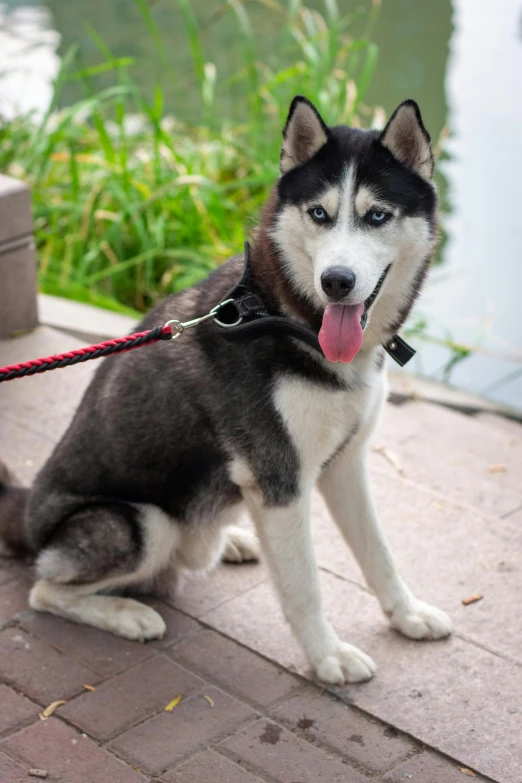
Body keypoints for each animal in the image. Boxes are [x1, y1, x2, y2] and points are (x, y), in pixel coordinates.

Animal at [0, 99, 446, 688]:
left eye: (376, 216)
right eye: (319, 214)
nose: (337, 281)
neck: (284, 316)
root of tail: (24, 514)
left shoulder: (346, 463)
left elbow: (380, 552)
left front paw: (408, 614)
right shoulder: (280, 480)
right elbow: (304, 585)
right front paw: (328, 657)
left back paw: (229, 541)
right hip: (141, 523)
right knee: (45, 589)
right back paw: (127, 613)